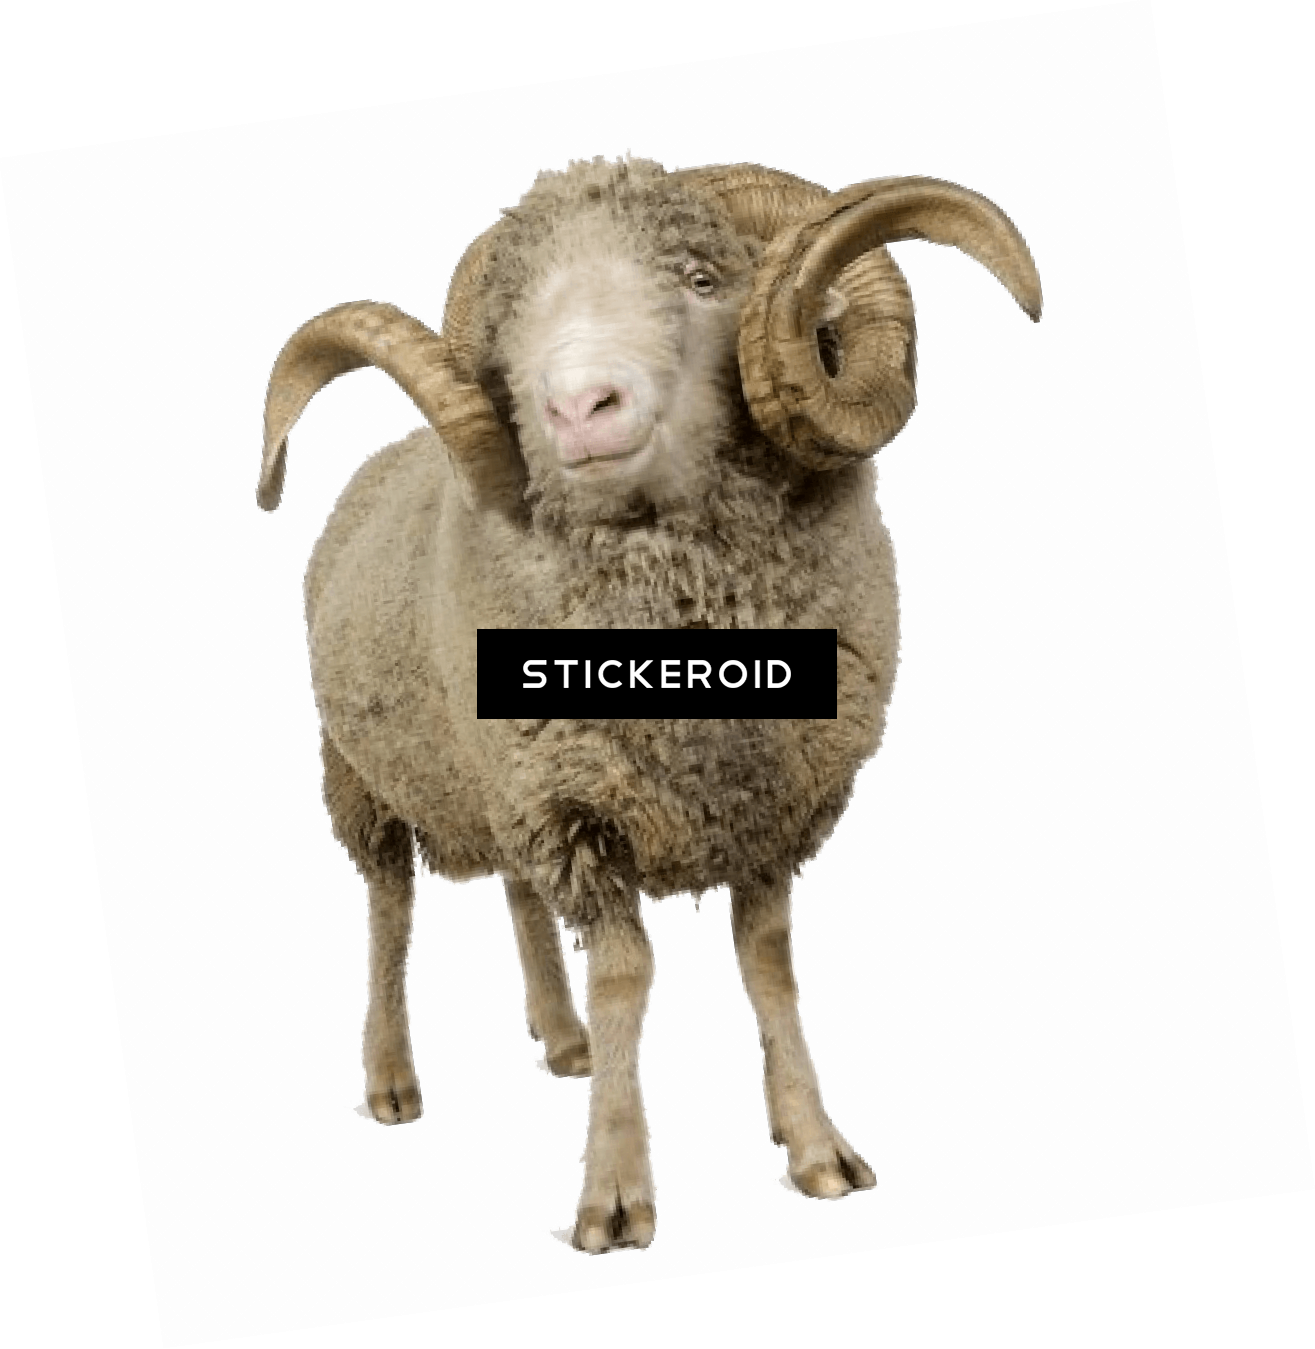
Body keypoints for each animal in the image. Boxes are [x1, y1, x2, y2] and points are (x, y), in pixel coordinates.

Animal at [257, 156, 1041, 1253]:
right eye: (511, 328)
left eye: (702, 280)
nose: (578, 408)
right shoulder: (579, 811)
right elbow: (628, 975)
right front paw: (614, 1195)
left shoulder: (768, 807)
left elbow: (769, 966)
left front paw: (816, 1148)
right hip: (362, 770)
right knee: (388, 903)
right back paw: (391, 1078)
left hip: (494, 775)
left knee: (516, 889)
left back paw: (561, 1035)